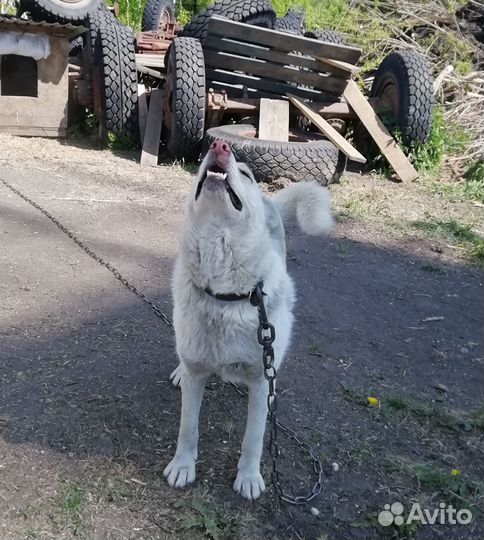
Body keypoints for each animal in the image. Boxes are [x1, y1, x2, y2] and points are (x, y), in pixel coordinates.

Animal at [163, 140, 332, 502]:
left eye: (246, 174)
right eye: (203, 160)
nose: (219, 144)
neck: (226, 296)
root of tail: (270, 202)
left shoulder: (261, 382)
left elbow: (253, 439)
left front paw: (249, 478)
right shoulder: (197, 375)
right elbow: (188, 428)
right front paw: (183, 466)